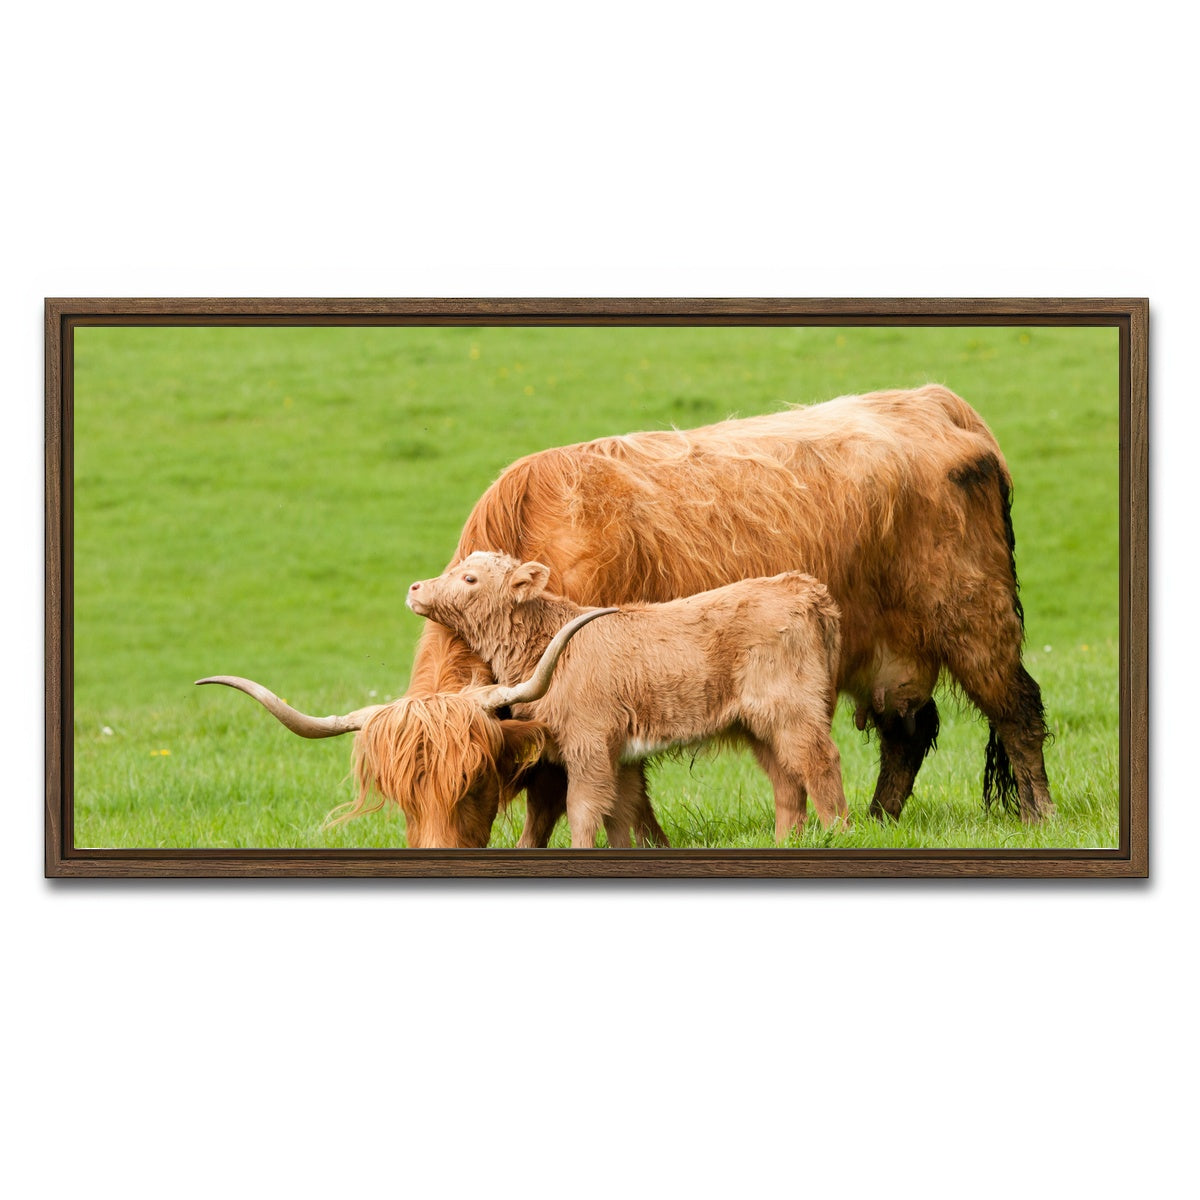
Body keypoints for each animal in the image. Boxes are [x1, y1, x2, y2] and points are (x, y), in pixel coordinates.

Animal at [403, 553, 848, 846]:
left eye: (470, 579)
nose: (414, 587)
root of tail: (803, 587)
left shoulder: (589, 744)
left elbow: (583, 808)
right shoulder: (621, 754)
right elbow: (621, 810)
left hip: (793, 709)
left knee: (819, 763)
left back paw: (838, 833)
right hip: (759, 724)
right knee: (786, 779)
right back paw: (787, 841)